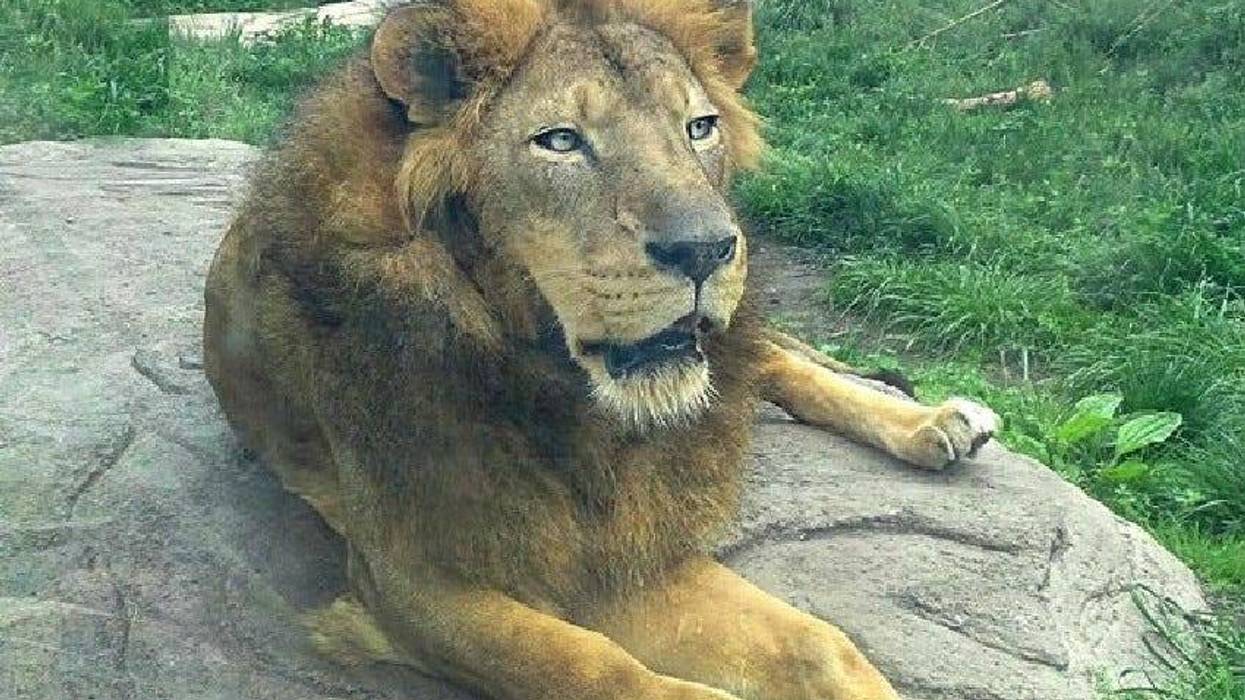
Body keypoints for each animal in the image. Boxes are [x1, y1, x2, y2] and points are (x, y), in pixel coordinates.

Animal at [202, 1, 999, 698]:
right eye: (559, 141)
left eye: (699, 128)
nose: (707, 248)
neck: (560, 390)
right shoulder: (410, 573)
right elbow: (589, 667)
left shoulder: (624, 537)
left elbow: (817, 646)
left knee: (772, 361)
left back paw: (936, 422)